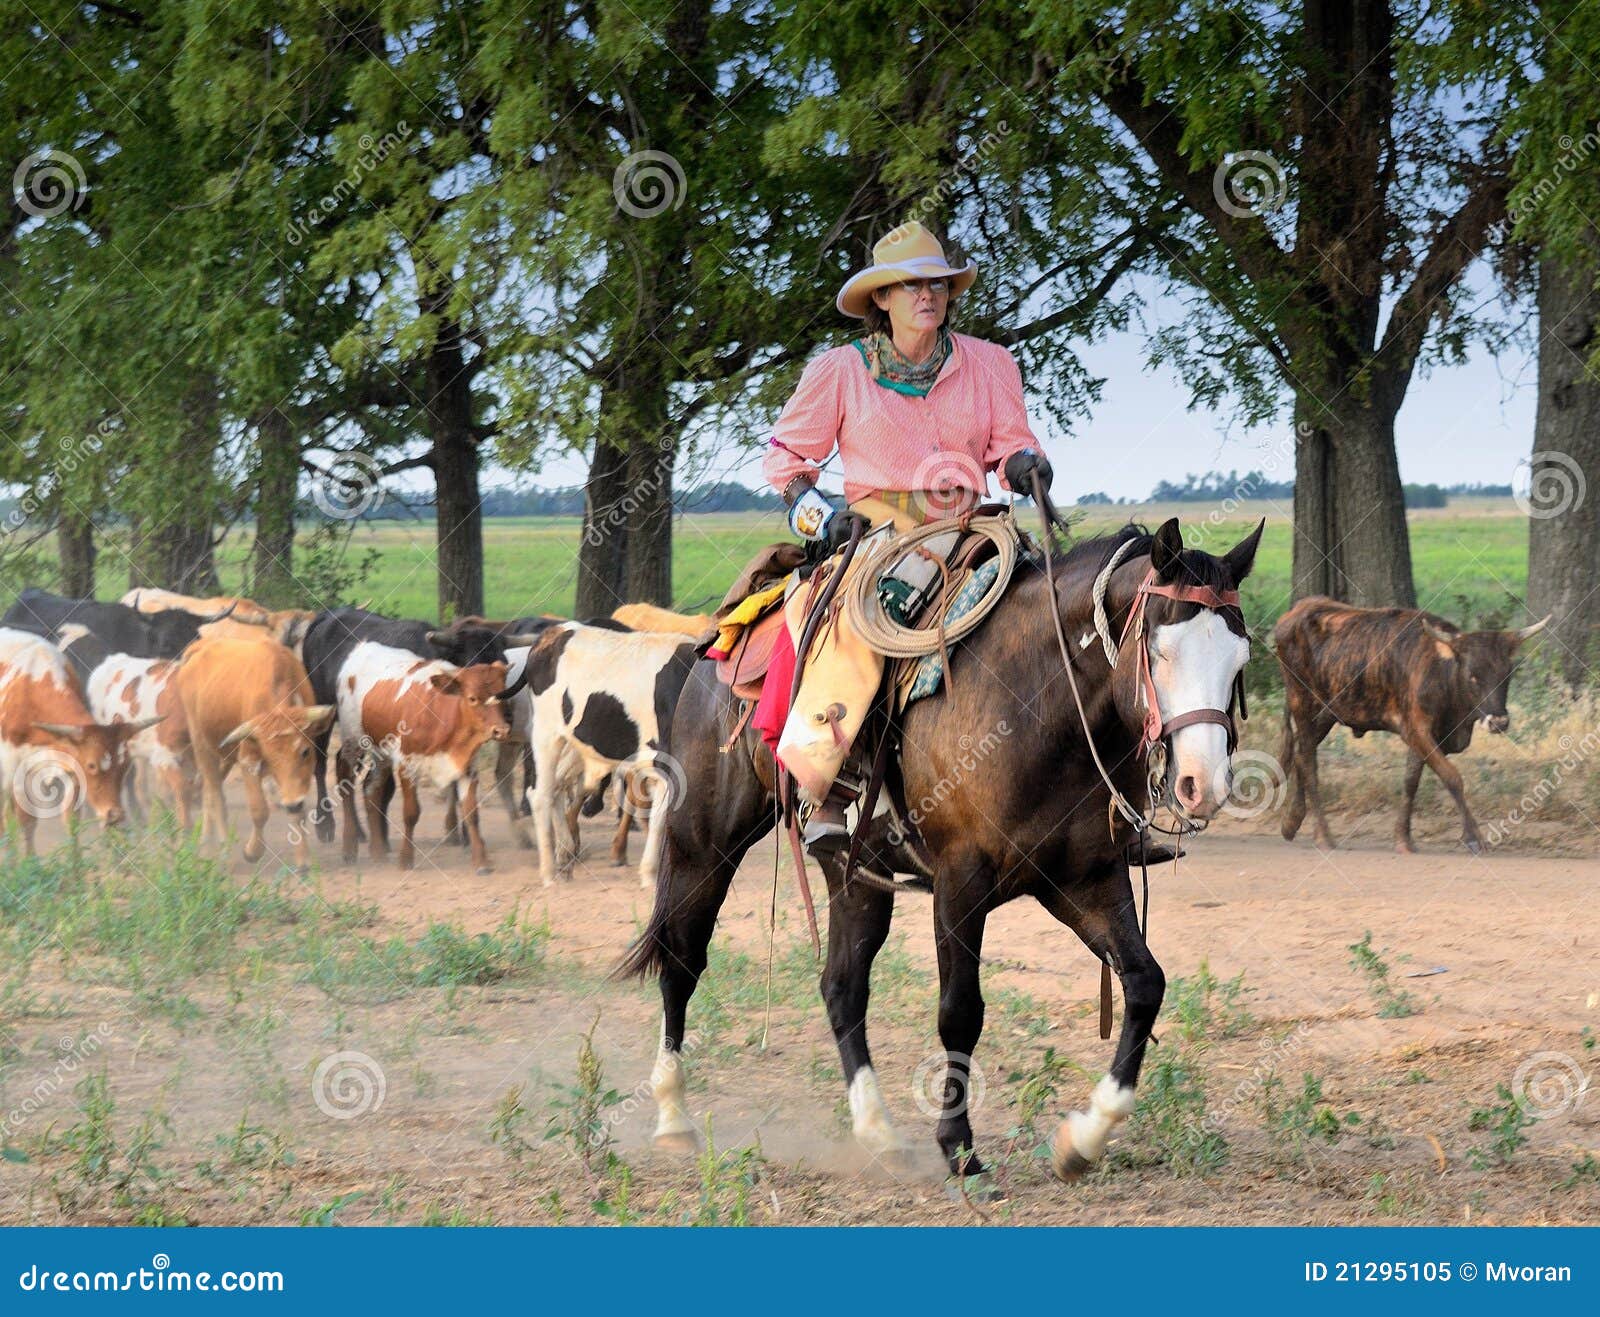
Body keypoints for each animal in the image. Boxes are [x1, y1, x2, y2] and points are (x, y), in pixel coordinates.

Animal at [0, 628, 156, 853]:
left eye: (125, 766)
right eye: (92, 765)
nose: (115, 815)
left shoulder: (70, 765)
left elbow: (72, 819)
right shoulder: (13, 766)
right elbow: (25, 821)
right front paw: (29, 860)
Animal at [173, 636, 335, 871]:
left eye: (305, 751)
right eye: (270, 757)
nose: (292, 802)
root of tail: (200, 646)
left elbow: (298, 811)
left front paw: (303, 860)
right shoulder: (248, 760)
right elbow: (259, 810)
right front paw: (252, 851)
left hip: (222, 753)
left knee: (207, 791)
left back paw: (205, 846)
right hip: (201, 744)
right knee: (215, 793)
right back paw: (223, 850)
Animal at [332, 643, 511, 872]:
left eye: (503, 695)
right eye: (472, 698)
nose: (501, 730)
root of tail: (362, 648)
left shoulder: (468, 766)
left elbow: (472, 813)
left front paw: (481, 861)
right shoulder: (406, 764)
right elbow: (411, 813)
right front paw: (405, 859)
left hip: (381, 751)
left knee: (372, 788)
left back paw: (378, 852)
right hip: (353, 739)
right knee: (344, 778)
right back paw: (349, 848)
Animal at [503, 623, 695, 888]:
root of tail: (553, 633)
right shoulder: (668, 766)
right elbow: (660, 821)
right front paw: (650, 876)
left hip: (575, 746)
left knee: (556, 788)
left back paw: (565, 856)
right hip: (547, 735)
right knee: (540, 795)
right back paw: (549, 873)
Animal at [1274, 596, 1550, 853]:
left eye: (1507, 674)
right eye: (1473, 675)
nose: (1499, 721)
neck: (1442, 673)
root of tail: (1300, 608)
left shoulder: (1427, 737)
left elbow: (1410, 781)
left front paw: (1403, 838)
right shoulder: (1416, 730)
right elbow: (1452, 777)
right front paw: (1473, 838)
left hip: (1325, 714)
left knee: (1301, 754)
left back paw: (1291, 823)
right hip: (1303, 704)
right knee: (1308, 763)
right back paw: (1323, 835)